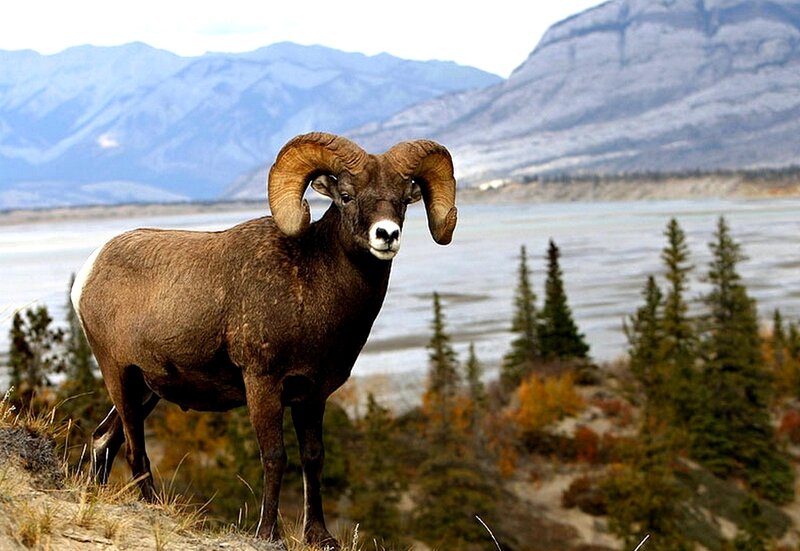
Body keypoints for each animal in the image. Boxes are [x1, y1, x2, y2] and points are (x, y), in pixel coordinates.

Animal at [70, 132, 458, 549]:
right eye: (347, 195)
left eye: (403, 199)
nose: (386, 235)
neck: (311, 283)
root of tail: (88, 273)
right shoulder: (263, 384)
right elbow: (275, 457)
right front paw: (269, 533)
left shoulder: (312, 396)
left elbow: (313, 457)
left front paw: (319, 536)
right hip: (120, 376)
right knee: (134, 448)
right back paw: (156, 508)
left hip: (146, 390)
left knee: (103, 440)